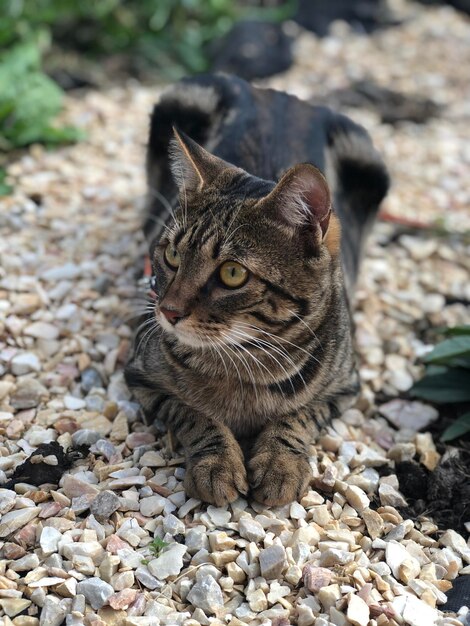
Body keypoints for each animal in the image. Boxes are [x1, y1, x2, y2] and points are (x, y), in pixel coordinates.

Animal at [125, 72, 390, 508]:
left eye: (232, 273)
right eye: (173, 255)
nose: (168, 311)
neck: (242, 363)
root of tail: (278, 93)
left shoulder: (344, 388)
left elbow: (297, 417)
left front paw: (280, 464)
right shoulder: (142, 377)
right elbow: (194, 414)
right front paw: (216, 463)